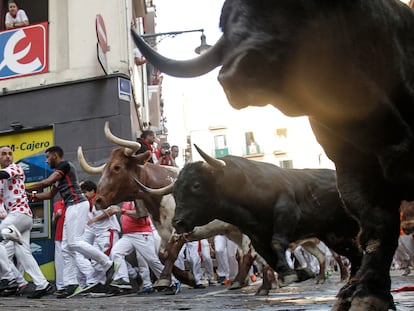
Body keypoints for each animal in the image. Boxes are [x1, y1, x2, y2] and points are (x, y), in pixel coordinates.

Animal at [131, 1, 414, 310]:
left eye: (196, 186)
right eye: (177, 189)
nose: (179, 222)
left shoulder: (286, 211)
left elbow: (278, 243)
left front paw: (293, 275)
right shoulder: (256, 232)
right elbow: (268, 254)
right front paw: (295, 273)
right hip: (334, 233)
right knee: (352, 253)